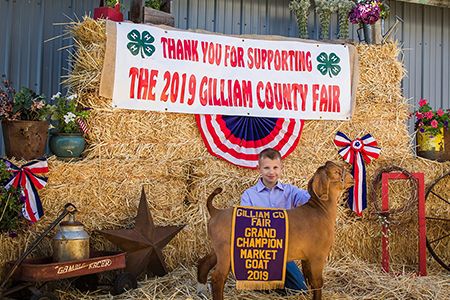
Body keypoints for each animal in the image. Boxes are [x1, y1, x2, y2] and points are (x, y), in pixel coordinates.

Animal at [197, 162, 356, 300]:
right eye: (335, 172)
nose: (352, 178)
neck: (320, 210)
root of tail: (216, 212)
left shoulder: (307, 257)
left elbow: (308, 279)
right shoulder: (318, 255)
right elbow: (317, 283)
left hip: (218, 247)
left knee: (204, 262)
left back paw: (201, 289)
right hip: (225, 251)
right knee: (218, 279)